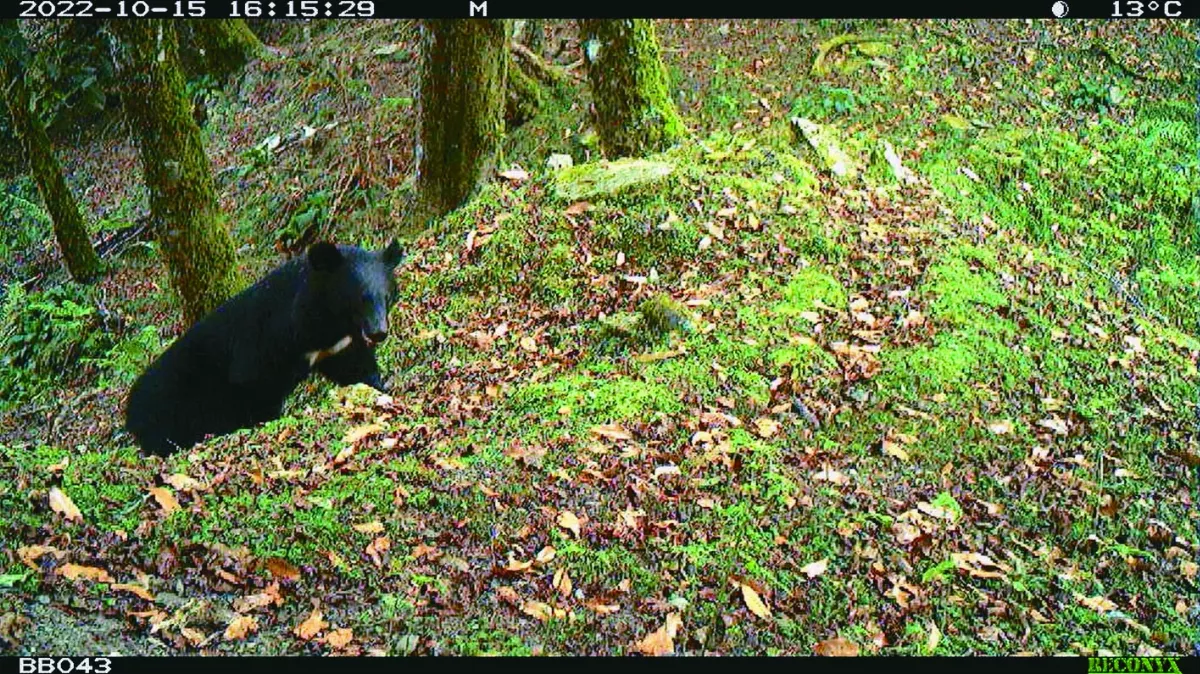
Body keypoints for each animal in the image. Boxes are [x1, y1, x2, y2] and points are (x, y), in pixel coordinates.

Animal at [124, 240, 404, 457]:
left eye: (386, 296)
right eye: (358, 299)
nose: (378, 332)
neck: (324, 323)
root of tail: (129, 413)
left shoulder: (338, 345)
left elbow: (356, 367)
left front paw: (380, 388)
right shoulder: (265, 345)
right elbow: (255, 385)